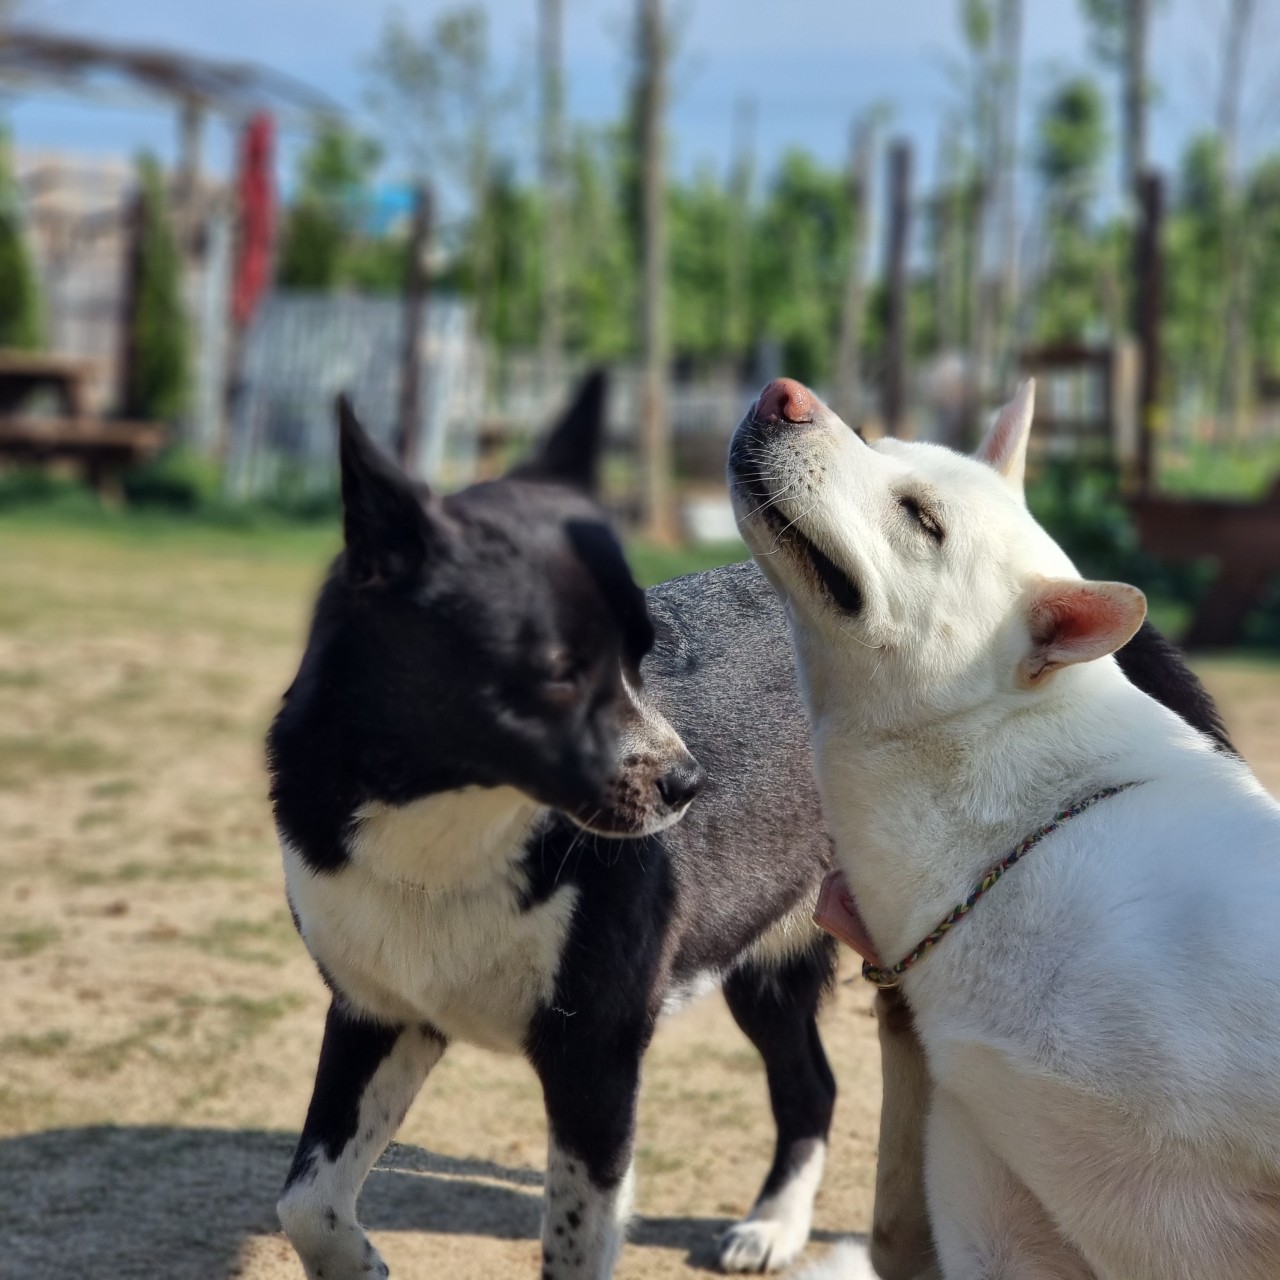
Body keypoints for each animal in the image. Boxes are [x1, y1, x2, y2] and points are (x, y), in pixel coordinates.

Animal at [268, 373, 847, 1280]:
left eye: (642, 649)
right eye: (557, 672)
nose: (690, 783)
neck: (453, 824)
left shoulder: (596, 1055)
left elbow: (575, 1240)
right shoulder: (379, 1013)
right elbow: (306, 1201)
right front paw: (359, 1267)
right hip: (765, 967)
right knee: (810, 1085)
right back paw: (775, 1227)